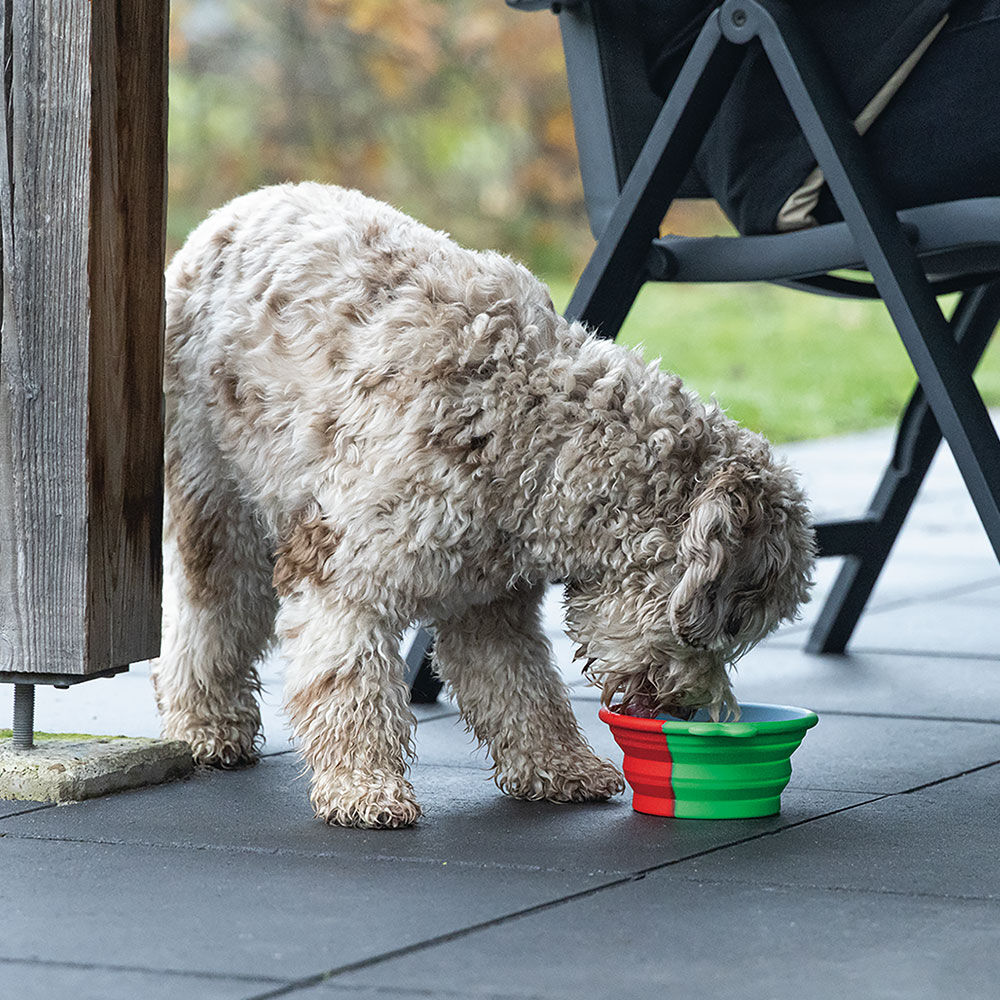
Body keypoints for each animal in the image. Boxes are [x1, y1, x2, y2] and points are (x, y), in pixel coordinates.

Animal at [152, 182, 816, 828]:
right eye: (732, 624)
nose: (691, 707)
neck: (532, 427)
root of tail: (229, 213)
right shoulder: (341, 575)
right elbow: (350, 687)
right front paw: (363, 787)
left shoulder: (489, 599)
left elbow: (521, 686)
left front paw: (561, 766)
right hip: (214, 493)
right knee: (210, 613)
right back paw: (206, 723)